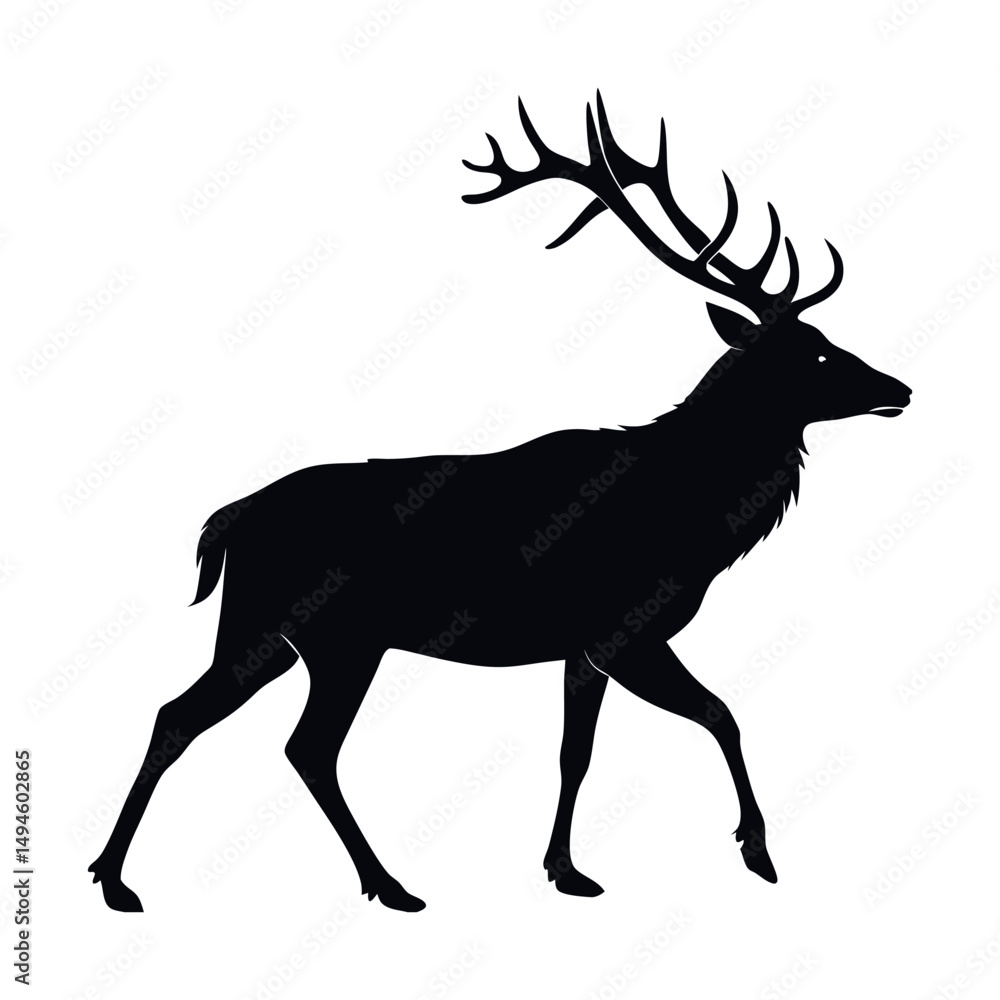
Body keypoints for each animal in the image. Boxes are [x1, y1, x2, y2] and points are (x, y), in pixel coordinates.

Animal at [89, 93, 911, 914]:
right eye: (815, 353)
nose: (899, 388)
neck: (694, 515)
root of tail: (227, 520)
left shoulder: (584, 649)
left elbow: (576, 753)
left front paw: (566, 869)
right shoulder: (625, 630)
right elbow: (722, 715)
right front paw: (758, 851)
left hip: (276, 634)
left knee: (200, 720)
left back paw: (120, 876)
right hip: (326, 635)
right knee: (295, 743)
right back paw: (378, 883)